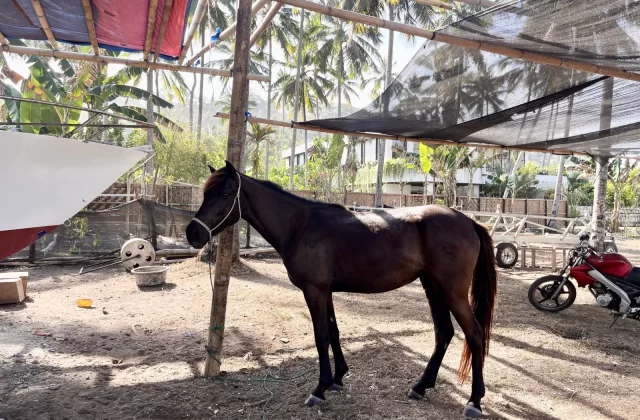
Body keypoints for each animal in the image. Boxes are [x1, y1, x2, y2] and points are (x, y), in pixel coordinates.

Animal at [186, 161, 497, 418]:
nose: (193, 233)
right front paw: (337, 379)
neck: (299, 225)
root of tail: (469, 221)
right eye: (206, 192)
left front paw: (319, 389)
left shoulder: (314, 291)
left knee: (474, 334)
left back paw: (474, 401)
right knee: (443, 333)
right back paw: (420, 387)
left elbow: (321, 336)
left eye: (225, 194)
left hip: (452, 292)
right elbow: (334, 332)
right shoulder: (327, 292)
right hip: (433, 287)